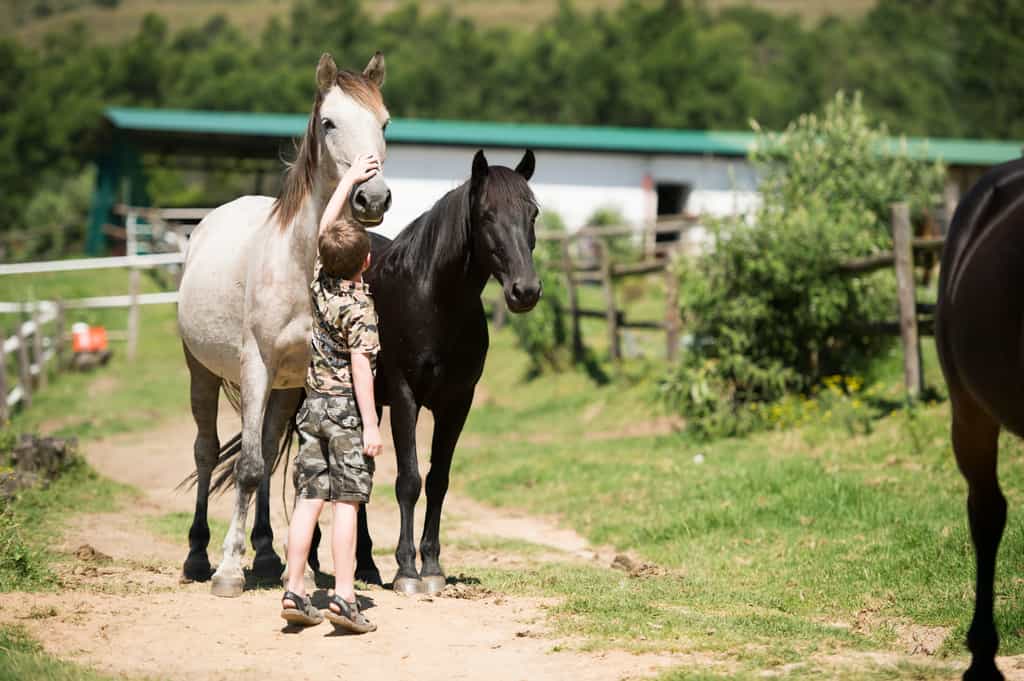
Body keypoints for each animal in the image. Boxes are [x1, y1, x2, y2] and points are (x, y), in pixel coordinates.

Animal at [177, 51, 392, 597]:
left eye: (384, 123)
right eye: (329, 122)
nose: (373, 198)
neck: (300, 266)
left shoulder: (297, 381)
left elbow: (278, 465)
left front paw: (281, 562)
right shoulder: (257, 367)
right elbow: (249, 466)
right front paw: (228, 570)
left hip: (283, 388)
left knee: (271, 451)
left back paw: (270, 556)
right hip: (202, 373)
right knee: (206, 454)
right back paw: (197, 556)